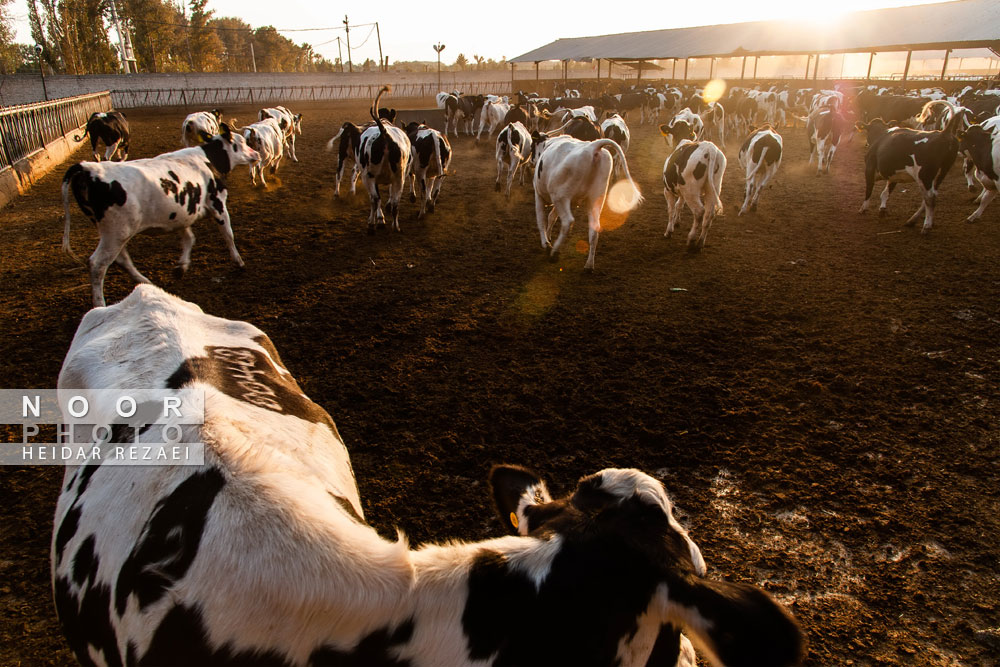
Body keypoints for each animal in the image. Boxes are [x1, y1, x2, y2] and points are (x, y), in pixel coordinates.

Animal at [60, 123, 260, 308]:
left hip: (112, 232)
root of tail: (87, 168)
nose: (256, 154)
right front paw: (238, 262)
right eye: (241, 143)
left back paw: (145, 282)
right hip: (117, 231)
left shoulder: (182, 213)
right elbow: (228, 234)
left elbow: (189, 238)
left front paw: (181, 267)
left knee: (121, 259)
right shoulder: (217, 204)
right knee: (97, 264)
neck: (208, 159)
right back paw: (99, 304)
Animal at [358, 87, 412, 235]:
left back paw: (372, 225)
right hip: (399, 177)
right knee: (395, 202)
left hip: (369, 176)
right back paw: (396, 226)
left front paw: (378, 220)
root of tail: (384, 132)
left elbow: (376, 198)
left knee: (374, 199)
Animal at [536, 134, 644, 270]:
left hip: (561, 196)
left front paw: (546, 243)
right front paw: (549, 236)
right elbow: (551, 217)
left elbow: (541, 219)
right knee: (594, 229)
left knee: (568, 221)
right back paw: (589, 265)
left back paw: (554, 253)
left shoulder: (540, 194)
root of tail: (593, 146)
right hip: (595, 198)